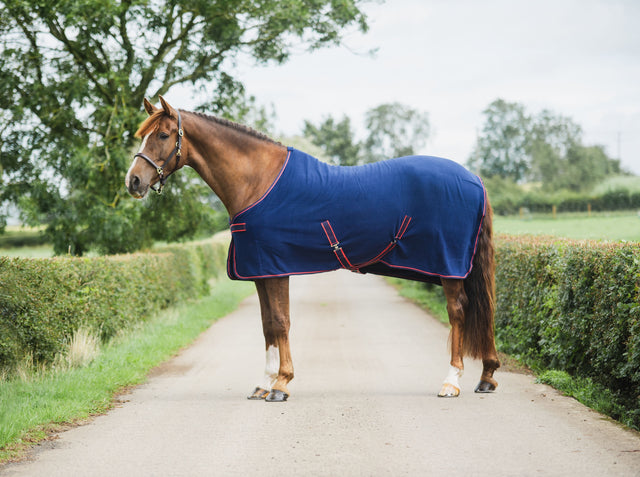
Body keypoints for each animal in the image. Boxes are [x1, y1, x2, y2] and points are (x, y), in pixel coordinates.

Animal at [125, 96, 500, 402]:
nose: (134, 181)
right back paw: (487, 377)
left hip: (449, 266)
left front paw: (281, 384)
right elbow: (267, 325)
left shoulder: (275, 268)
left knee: (459, 311)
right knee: (482, 309)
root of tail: (474, 179)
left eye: (163, 135)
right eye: (145, 134)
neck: (258, 180)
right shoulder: (260, 271)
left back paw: (451, 381)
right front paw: (263, 383)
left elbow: (280, 322)